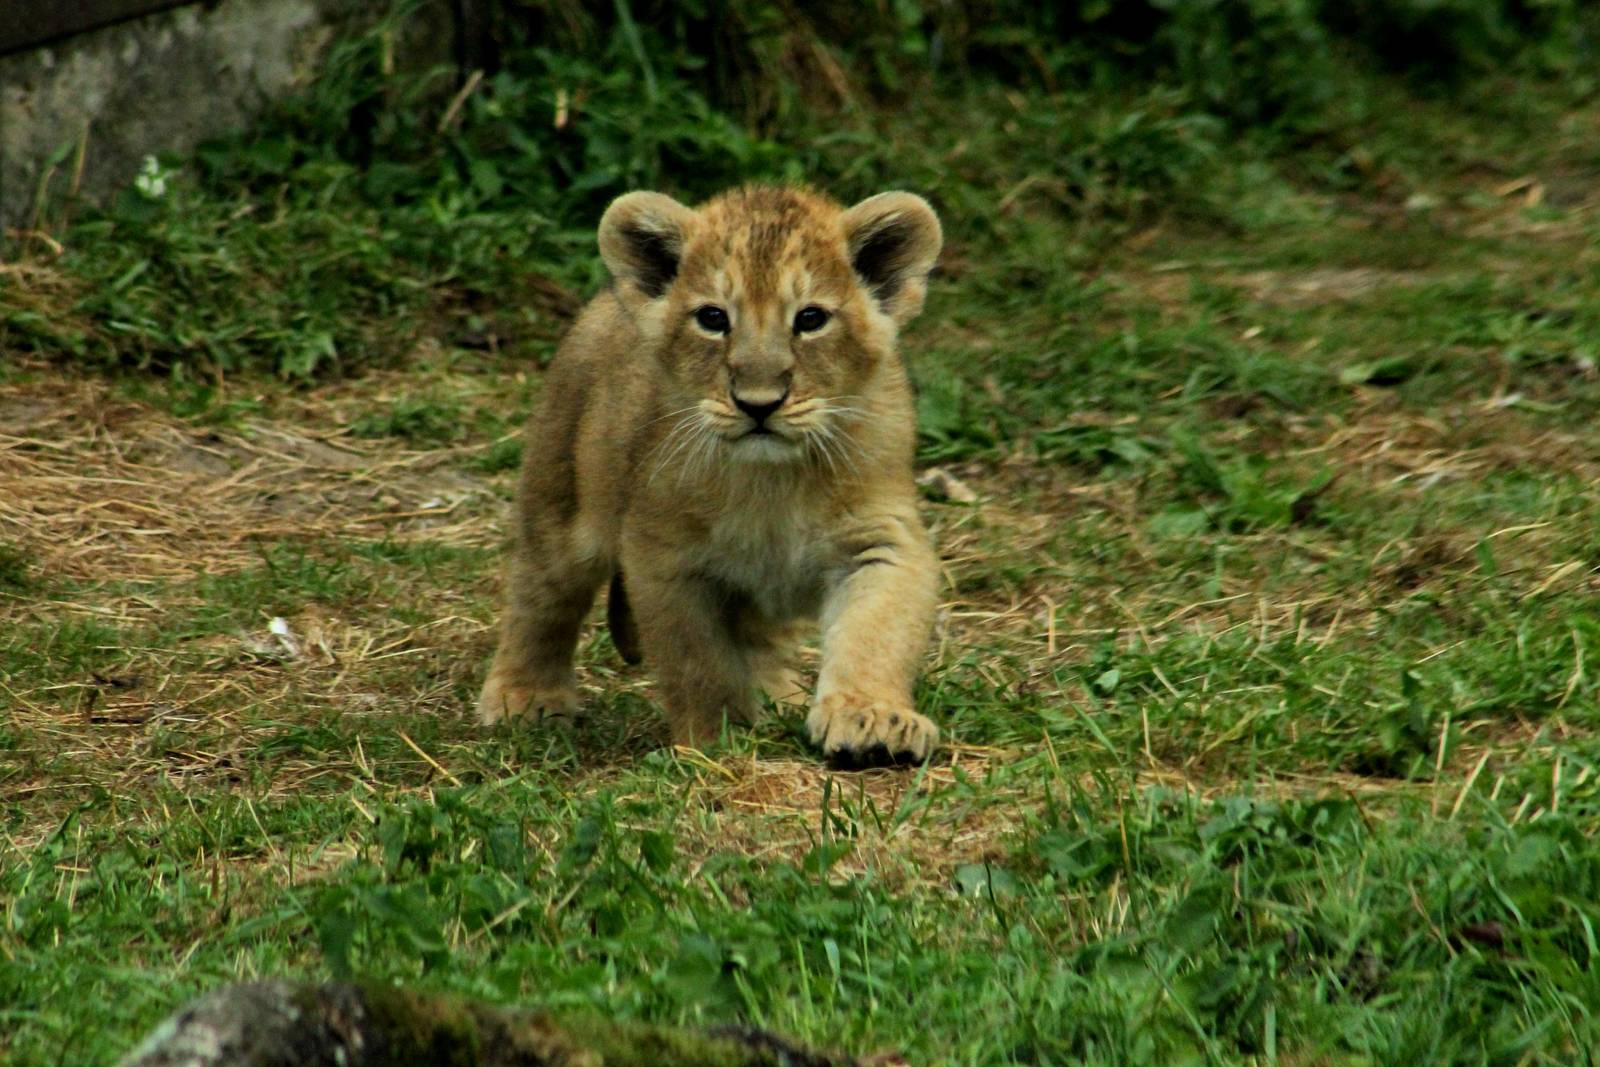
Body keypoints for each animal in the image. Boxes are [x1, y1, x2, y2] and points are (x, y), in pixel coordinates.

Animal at [476, 184, 943, 765]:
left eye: (811, 318)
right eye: (713, 318)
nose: (759, 404)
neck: (773, 482)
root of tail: (607, 298)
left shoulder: (879, 538)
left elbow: (878, 632)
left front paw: (873, 720)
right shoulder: (664, 556)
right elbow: (696, 661)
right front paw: (715, 739)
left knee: (760, 637)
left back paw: (778, 694)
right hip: (557, 499)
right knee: (540, 596)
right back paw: (525, 697)